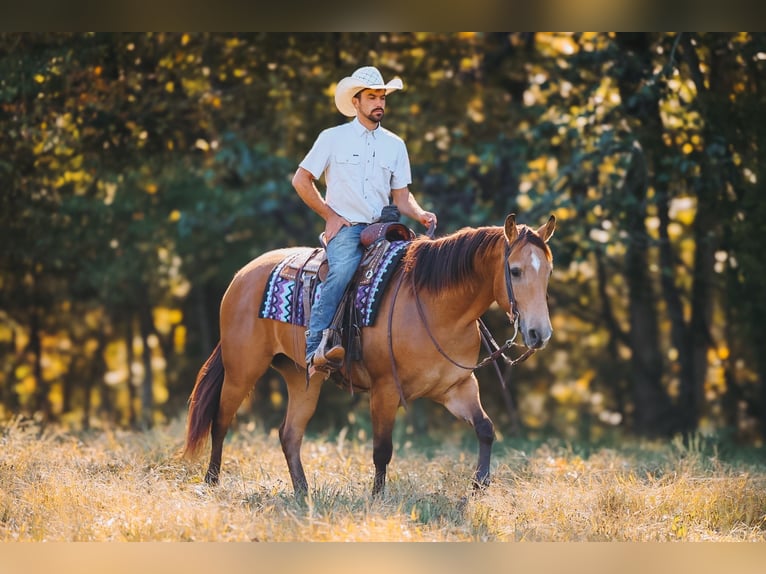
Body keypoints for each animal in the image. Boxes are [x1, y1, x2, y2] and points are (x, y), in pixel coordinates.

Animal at [183, 213, 556, 496]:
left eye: (548, 272)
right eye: (515, 271)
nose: (540, 334)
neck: (436, 307)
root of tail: (242, 275)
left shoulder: (457, 388)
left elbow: (486, 428)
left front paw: (480, 484)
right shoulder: (385, 389)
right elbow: (382, 450)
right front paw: (377, 497)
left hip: (302, 378)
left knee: (289, 434)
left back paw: (303, 492)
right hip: (241, 369)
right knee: (221, 420)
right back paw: (212, 482)